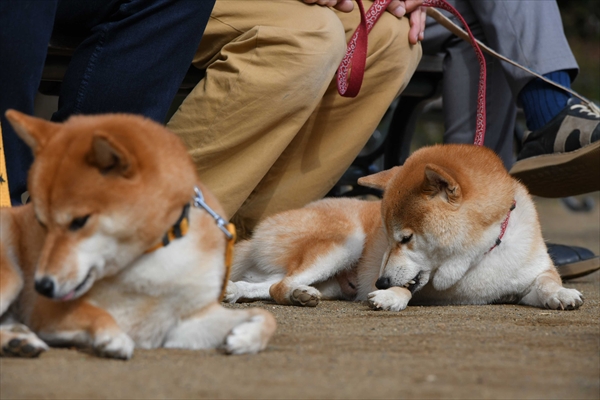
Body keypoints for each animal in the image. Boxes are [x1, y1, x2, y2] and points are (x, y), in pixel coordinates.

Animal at [0, 110, 276, 360]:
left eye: (79, 221)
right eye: (41, 223)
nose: (41, 286)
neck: (150, 260)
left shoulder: (182, 321)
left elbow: (266, 316)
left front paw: (246, 339)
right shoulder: (47, 312)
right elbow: (96, 313)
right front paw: (113, 337)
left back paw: (17, 338)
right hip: (12, 277)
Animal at [224, 144, 580, 312]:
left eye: (406, 238)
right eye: (388, 235)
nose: (378, 281)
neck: (478, 258)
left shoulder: (532, 274)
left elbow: (547, 283)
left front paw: (562, 294)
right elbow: (407, 288)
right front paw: (389, 297)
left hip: (329, 281)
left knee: (266, 283)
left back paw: (243, 291)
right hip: (344, 242)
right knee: (278, 286)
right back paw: (296, 294)